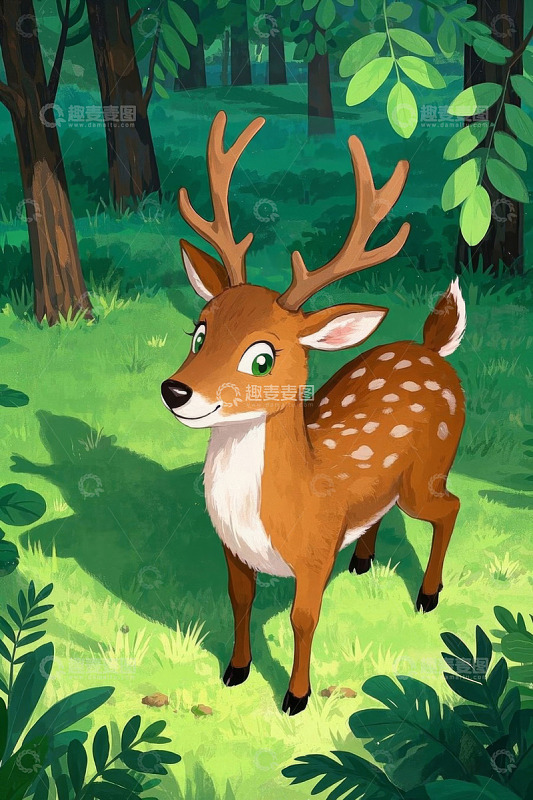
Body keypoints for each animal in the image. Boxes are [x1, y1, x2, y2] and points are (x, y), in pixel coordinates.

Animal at [161, 112, 466, 715]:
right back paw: (364, 561)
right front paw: (235, 672)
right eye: (199, 332)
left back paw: (427, 596)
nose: (175, 391)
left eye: (262, 357)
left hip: (429, 473)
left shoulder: (316, 550)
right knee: (387, 513)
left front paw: (295, 698)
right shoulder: (231, 551)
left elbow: (305, 620)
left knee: (450, 508)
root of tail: (432, 348)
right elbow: (239, 601)